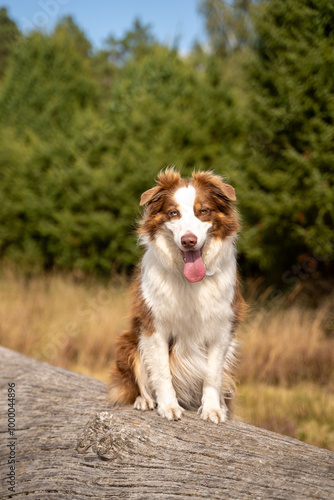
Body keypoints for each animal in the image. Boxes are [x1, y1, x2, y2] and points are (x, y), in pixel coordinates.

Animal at [109, 170, 245, 424]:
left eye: (203, 211)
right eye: (174, 213)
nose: (188, 240)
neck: (189, 281)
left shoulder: (222, 327)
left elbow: (213, 374)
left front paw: (213, 409)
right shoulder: (154, 326)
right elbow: (162, 372)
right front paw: (169, 406)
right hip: (129, 343)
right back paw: (144, 401)